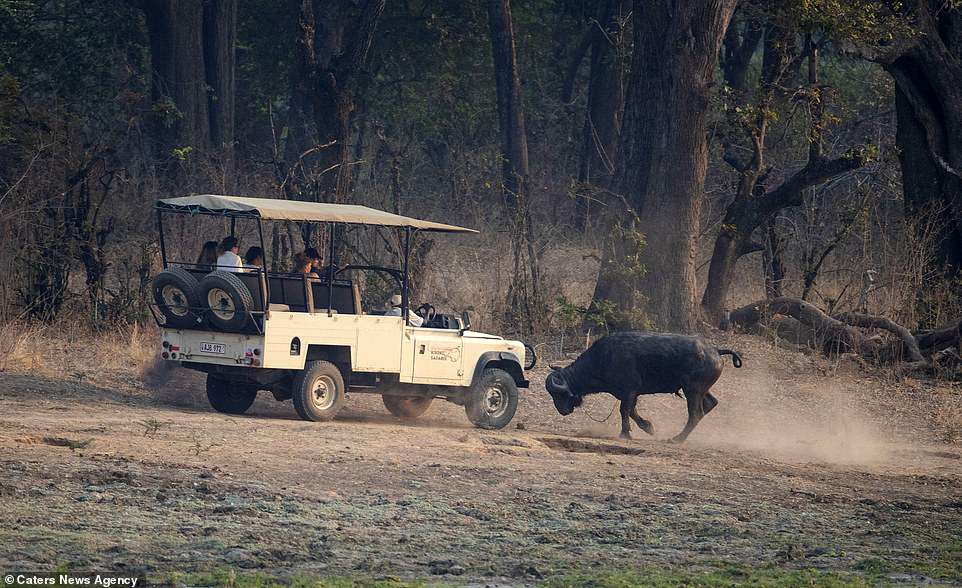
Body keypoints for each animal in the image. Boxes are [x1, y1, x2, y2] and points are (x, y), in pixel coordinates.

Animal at [545, 331, 742, 443]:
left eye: (559, 394)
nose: (562, 411)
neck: (603, 358)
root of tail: (715, 350)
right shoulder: (631, 394)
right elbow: (632, 411)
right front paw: (648, 427)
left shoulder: (629, 391)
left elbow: (624, 411)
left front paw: (625, 434)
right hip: (701, 390)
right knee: (710, 404)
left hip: (692, 390)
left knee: (696, 413)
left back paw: (677, 439)